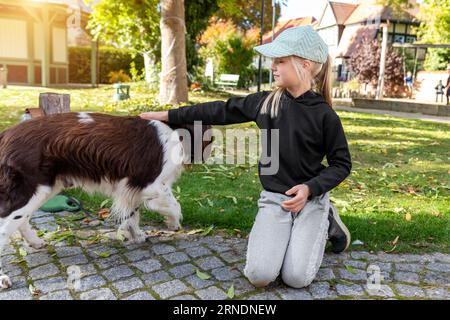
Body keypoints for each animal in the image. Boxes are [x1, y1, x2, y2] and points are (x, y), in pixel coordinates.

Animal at [0, 111, 214, 288]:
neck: (176, 131)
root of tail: (5, 134)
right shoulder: (153, 186)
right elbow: (175, 205)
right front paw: (173, 224)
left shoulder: (131, 188)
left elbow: (133, 215)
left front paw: (137, 235)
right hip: (30, 189)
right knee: (6, 228)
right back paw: (4, 277)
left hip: (45, 188)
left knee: (23, 220)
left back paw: (35, 242)